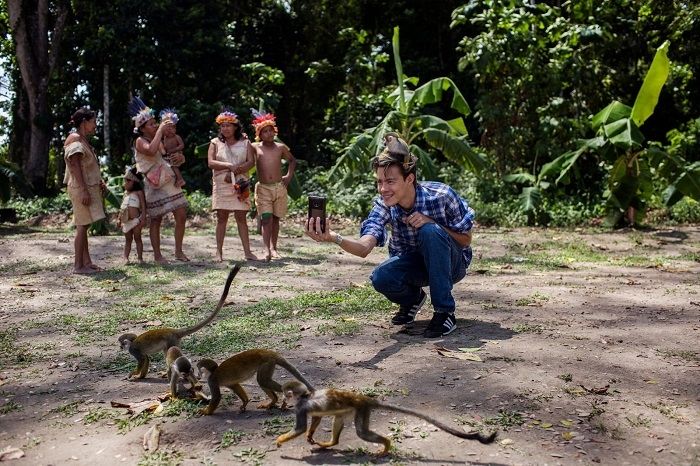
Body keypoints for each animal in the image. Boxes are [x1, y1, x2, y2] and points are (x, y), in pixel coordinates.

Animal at [274, 382, 498, 456]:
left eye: (286, 393)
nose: (284, 399)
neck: (304, 397)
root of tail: (364, 398)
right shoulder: (305, 408)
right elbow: (315, 419)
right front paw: (310, 435)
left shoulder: (301, 407)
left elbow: (300, 428)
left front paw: (279, 440)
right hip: (354, 409)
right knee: (339, 418)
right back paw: (332, 443)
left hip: (362, 409)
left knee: (362, 433)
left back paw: (387, 445)